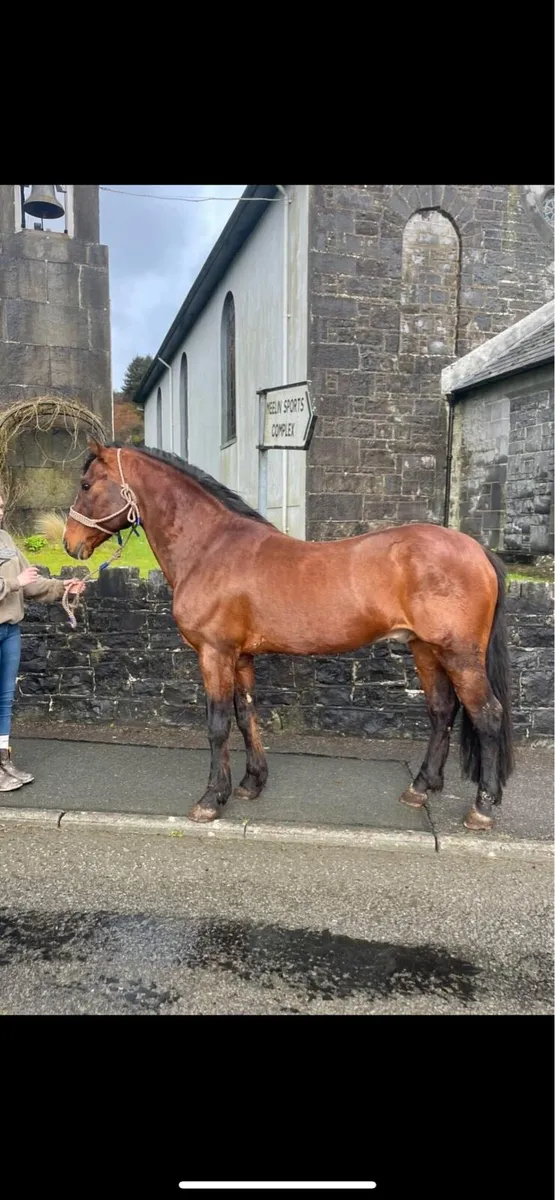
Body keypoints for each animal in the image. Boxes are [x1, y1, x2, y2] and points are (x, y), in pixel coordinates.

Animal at [63, 439, 514, 833]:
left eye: (86, 485)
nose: (69, 544)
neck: (209, 548)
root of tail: (477, 550)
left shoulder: (214, 653)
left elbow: (217, 724)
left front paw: (211, 799)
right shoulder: (240, 657)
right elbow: (246, 715)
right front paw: (251, 783)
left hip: (458, 654)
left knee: (487, 715)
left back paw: (482, 808)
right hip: (425, 650)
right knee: (442, 711)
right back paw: (421, 788)